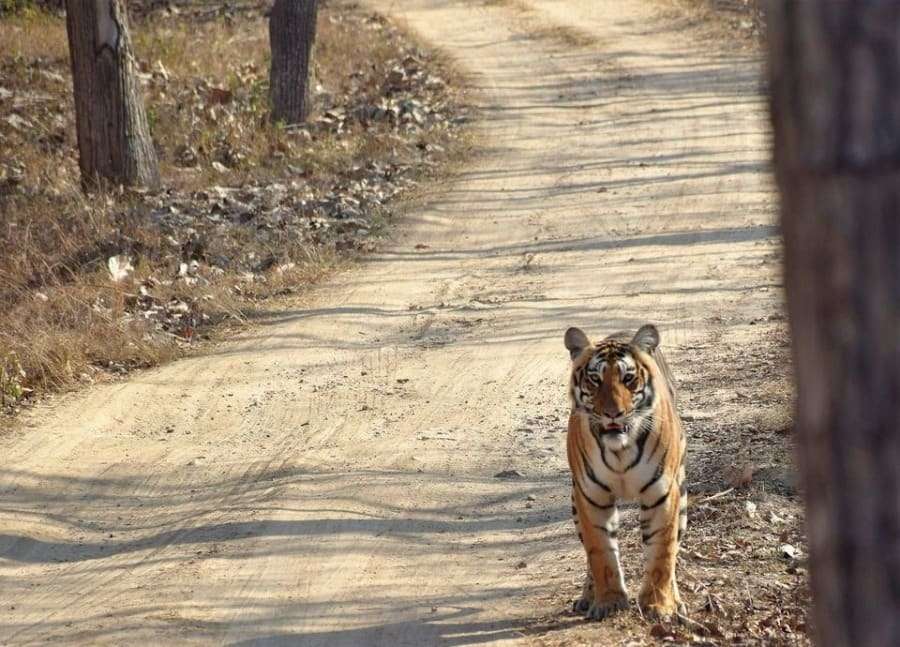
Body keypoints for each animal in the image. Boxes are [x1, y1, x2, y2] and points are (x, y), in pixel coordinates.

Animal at [564, 324, 688, 624]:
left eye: (628, 378)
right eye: (595, 380)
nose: (613, 414)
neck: (619, 450)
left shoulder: (662, 494)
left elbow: (662, 554)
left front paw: (659, 606)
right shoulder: (590, 497)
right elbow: (600, 554)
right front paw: (609, 602)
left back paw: (676, 601)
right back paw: (588, 596)